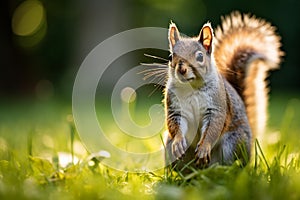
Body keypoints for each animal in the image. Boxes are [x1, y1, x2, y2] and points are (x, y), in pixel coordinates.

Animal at [163, 11, 282, 169]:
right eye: (171, 57)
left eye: (200, 56)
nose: (181, 70)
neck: (192, 88)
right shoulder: (174, 106)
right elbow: (174, 124)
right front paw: (178, 143)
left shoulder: (218, 107)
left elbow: (213, 128)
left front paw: (203, 148)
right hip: (168, 145)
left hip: (233, 143)